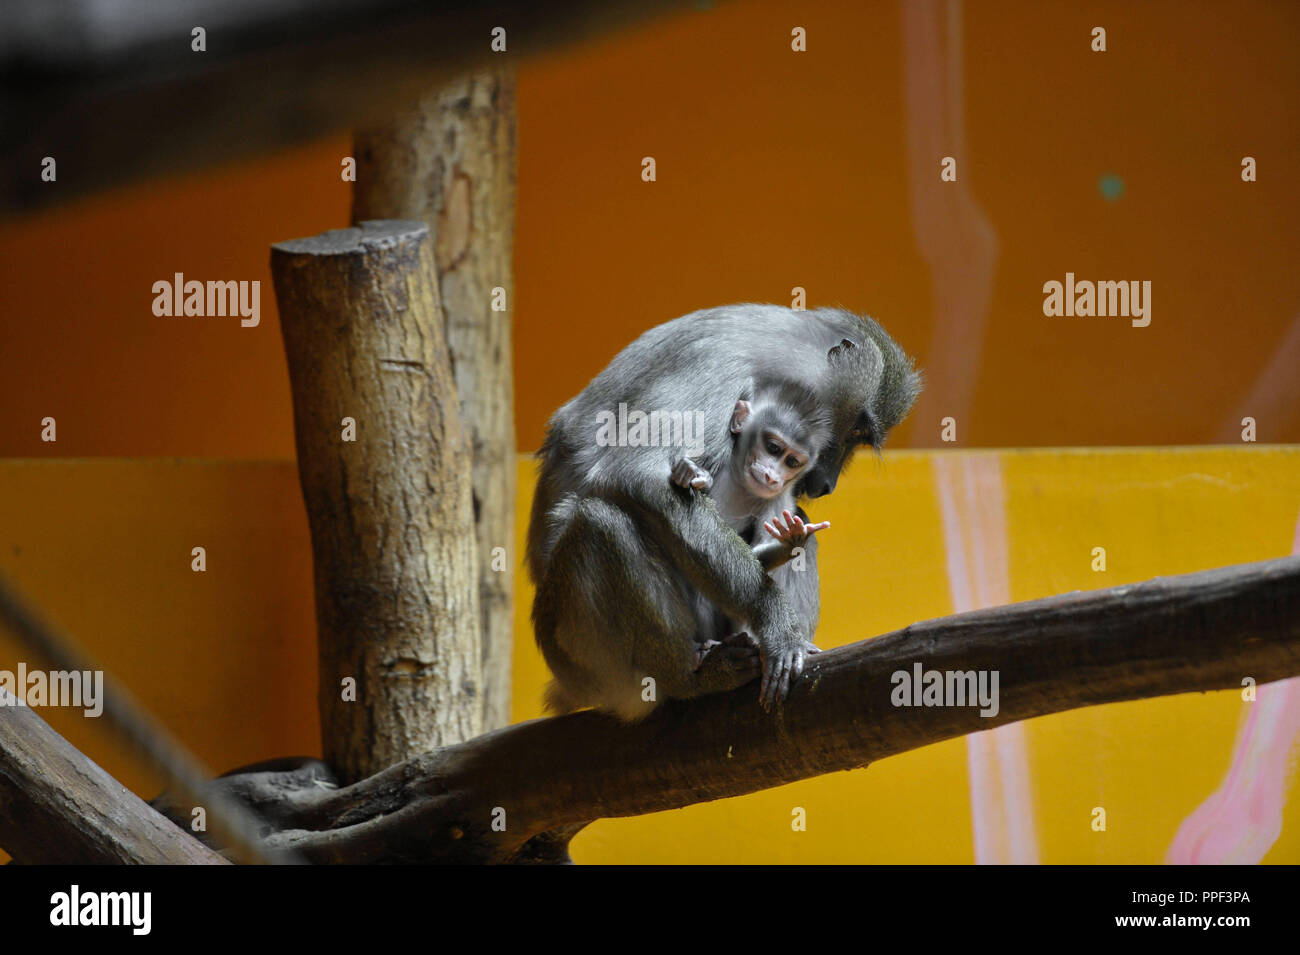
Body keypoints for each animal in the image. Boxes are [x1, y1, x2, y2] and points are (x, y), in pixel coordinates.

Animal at [522, 304, 920, 717]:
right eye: (853, 433)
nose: (826, 484)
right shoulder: (717, 368)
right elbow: (641, 472)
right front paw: (776, 622)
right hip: (584, 657)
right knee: (599, 523)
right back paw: (685, 679)